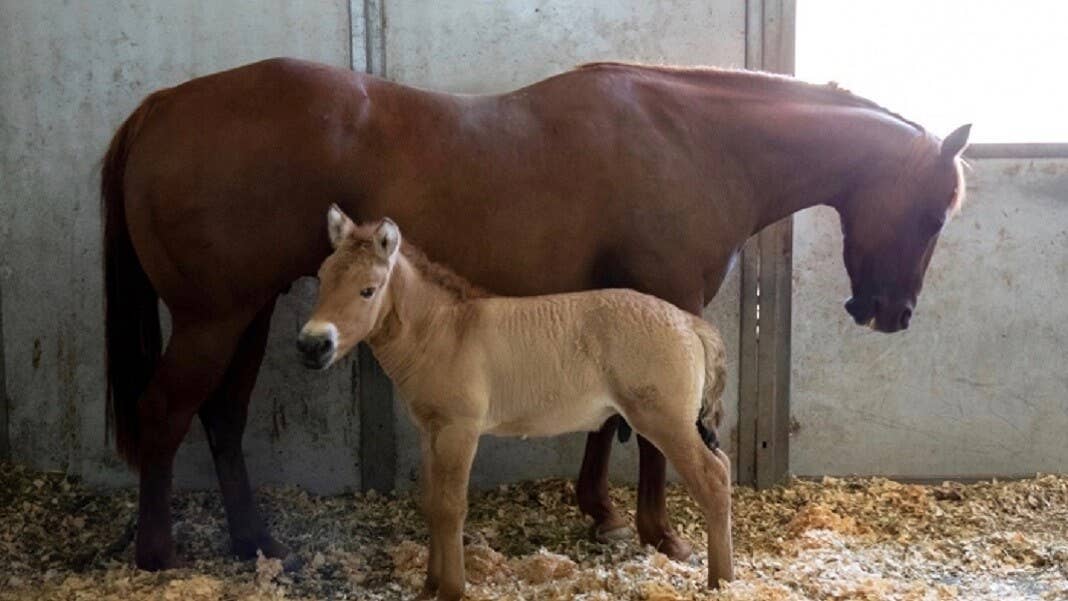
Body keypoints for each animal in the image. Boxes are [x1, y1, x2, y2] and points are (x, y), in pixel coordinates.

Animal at [298, 208, 733, 598]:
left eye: (367, 289)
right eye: (321, 279)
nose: (312, 345)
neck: (445, 332)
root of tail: (689, 323)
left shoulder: (459, 430)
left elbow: (451, 508)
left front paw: (453, 589)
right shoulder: (429, 431)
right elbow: (432, 504)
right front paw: (429, 587)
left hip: (665, 422)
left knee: (713, 479)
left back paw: (721, 582)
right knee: (723, 468)